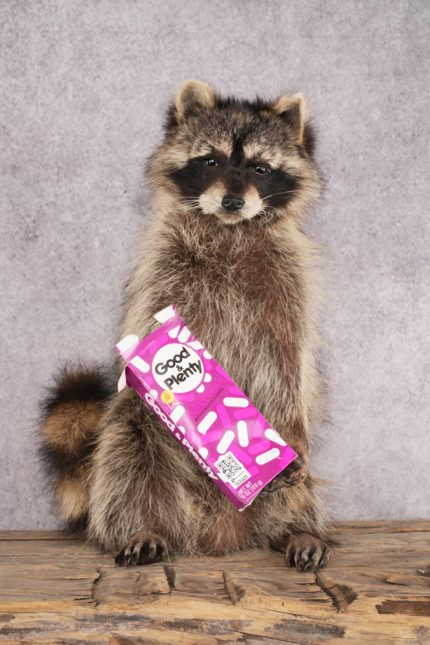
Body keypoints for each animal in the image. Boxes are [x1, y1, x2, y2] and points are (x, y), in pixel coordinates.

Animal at [40, 80, 333, 571]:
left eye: (260, 168)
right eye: (211, 160)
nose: (233, 201)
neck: (230, 228)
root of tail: (218, 531)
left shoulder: (288, 285)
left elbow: (287, 359)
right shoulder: (163, 269)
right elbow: (145, 329)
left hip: (288, 478)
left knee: (299, 487)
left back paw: (299, 528)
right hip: (138, 443)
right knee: (127, 453)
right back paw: (144, 527)